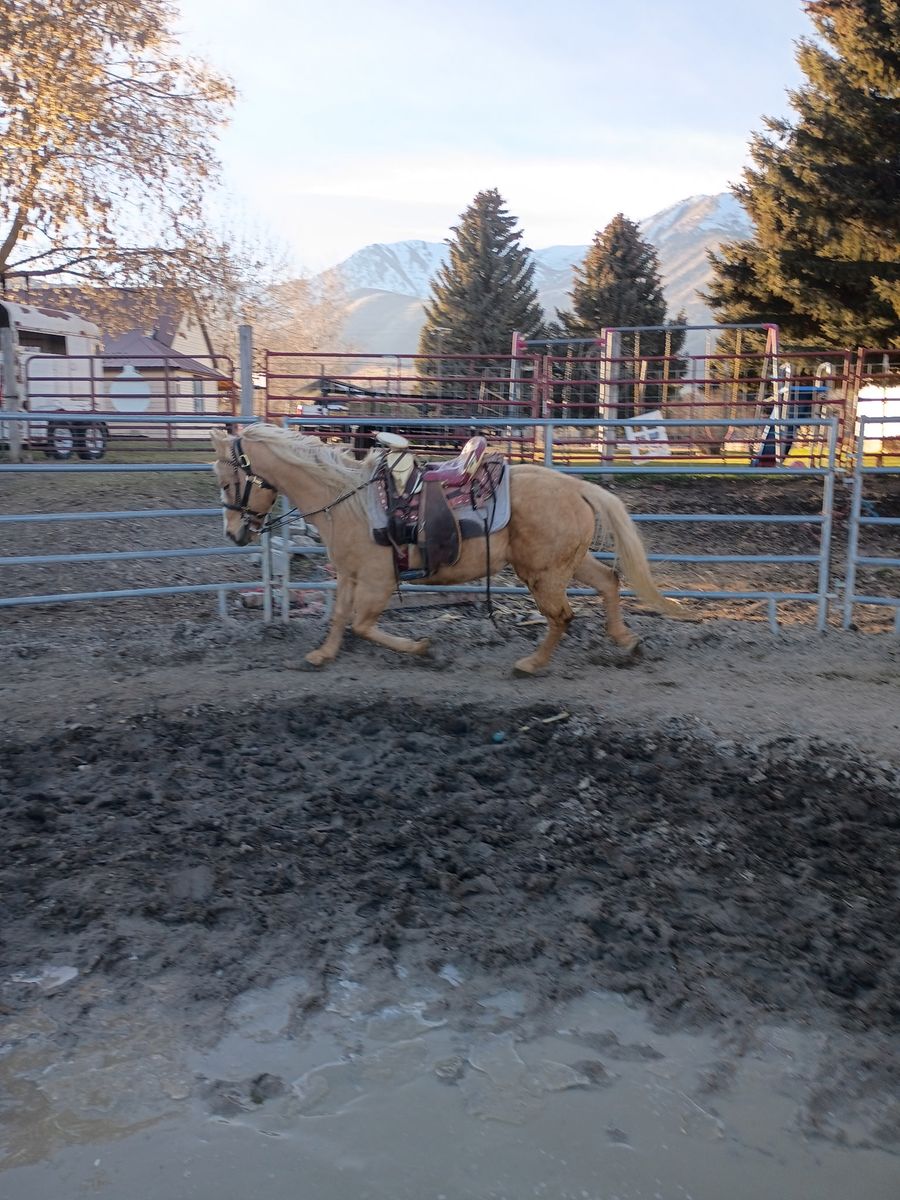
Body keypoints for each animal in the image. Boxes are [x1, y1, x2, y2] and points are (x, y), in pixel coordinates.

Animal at [210, 424, 683, 675]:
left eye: (229, 481)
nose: (233, 534)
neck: (348, 500)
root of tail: (577, 487)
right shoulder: (348, 573)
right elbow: (341, 617)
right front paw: (324, 654)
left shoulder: (379, 580)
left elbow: (362, 624)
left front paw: (424, 649)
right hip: (570, 561)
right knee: (609, 581)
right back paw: (627, 641)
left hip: (542, 573)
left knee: (562, 616)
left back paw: (531, 663)